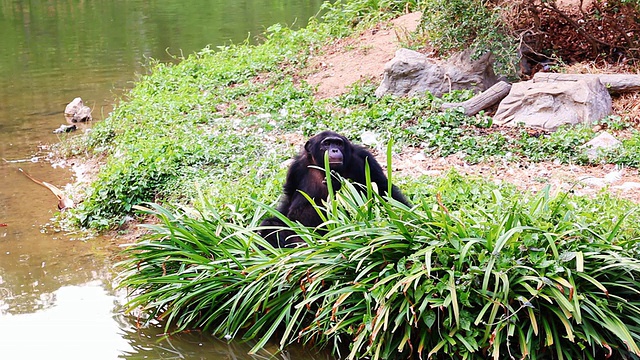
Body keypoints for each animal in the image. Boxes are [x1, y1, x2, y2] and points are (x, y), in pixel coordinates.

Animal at [256, 131, 410, 249]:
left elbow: (381, 188)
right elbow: (289, 200)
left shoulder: (364, 158)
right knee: (270, 225)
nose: (335, 150)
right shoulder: (296, 168)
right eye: (327, 143)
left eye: (338, 143)